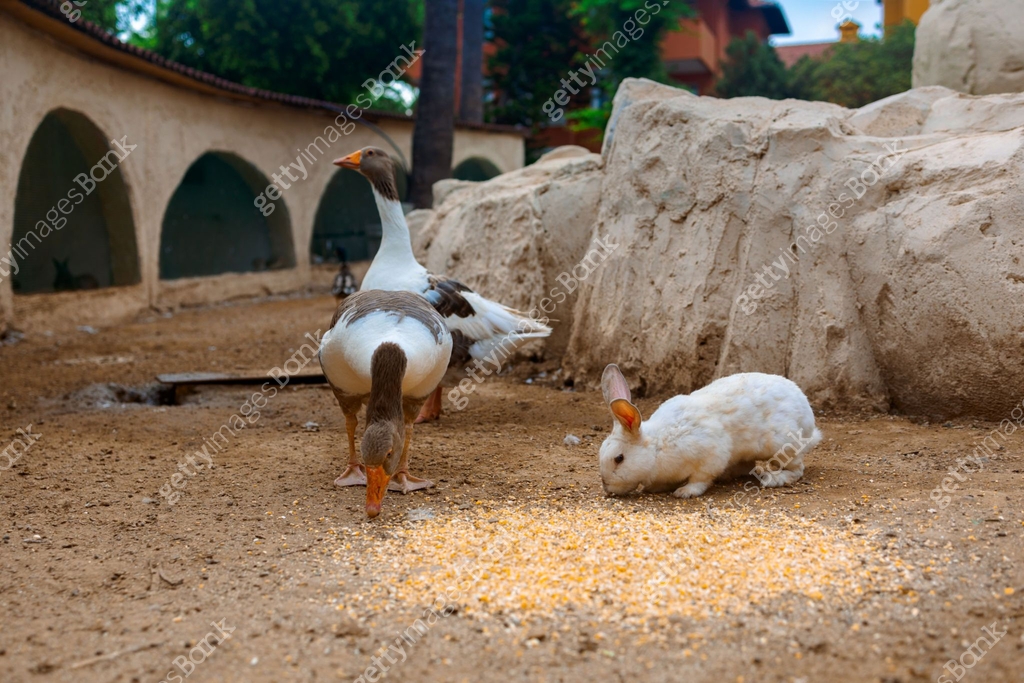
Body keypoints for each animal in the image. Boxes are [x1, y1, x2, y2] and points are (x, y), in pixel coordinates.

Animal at [598, 364, 822, 499]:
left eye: (619, 458)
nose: (607, 488)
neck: (656, 448)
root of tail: (809, 422)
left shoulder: (710, 456)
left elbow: (701, 479)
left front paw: (684, 492)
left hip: (783, 447)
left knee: (796, 470)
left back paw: (774, 479)